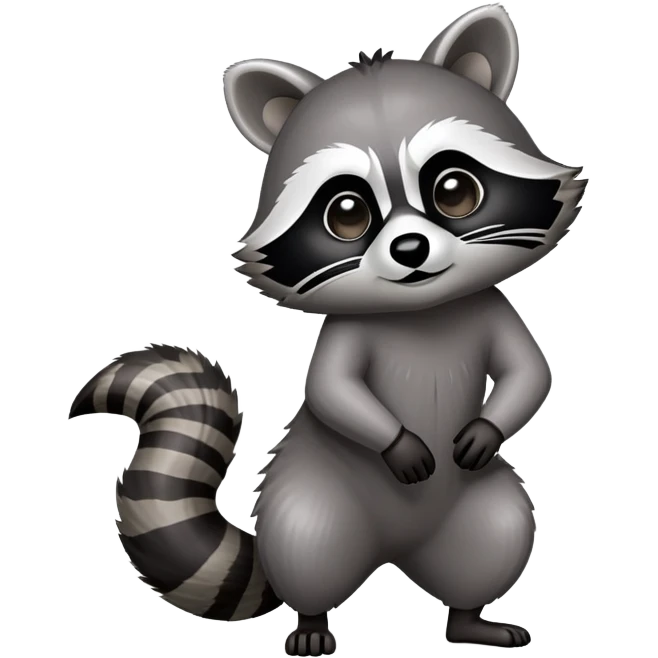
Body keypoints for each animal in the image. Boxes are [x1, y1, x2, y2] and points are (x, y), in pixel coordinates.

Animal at [69, 3, 588, 655]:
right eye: (348, 213)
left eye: (454, 191)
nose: (411, 250)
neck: (420, 311)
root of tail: (395, 551)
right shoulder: (348, 330)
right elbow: (331, 390)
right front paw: (397, 441)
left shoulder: (488, 304)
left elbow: (530, 372)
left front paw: (488, 428)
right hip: (315, 500)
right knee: (310, 551)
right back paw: (314, 622)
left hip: (480, 504)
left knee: (496, 536)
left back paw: (471, 618)